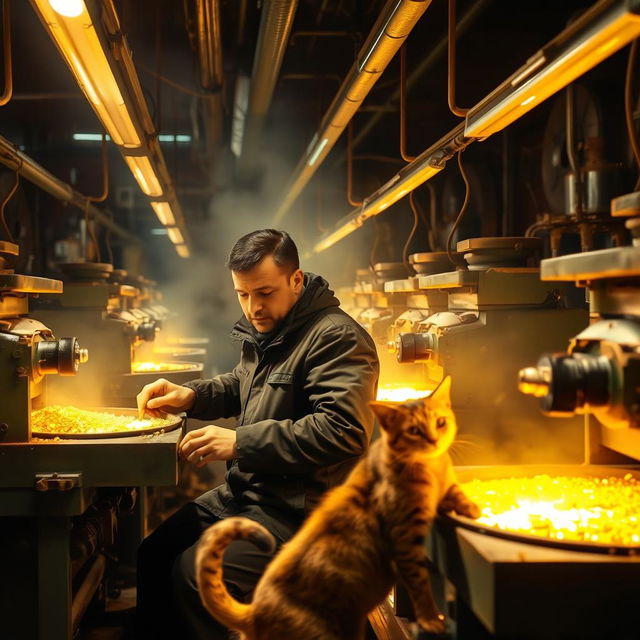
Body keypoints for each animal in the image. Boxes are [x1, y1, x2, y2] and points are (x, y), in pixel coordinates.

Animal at [195, 376, 480, 640]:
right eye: (413, 430)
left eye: (440, 422)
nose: (433, 440)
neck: (432, 468)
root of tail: (254, 612)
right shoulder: (405, 539)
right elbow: (420, 583)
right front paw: (431, 619)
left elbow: (455, 491)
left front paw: (472, 508)